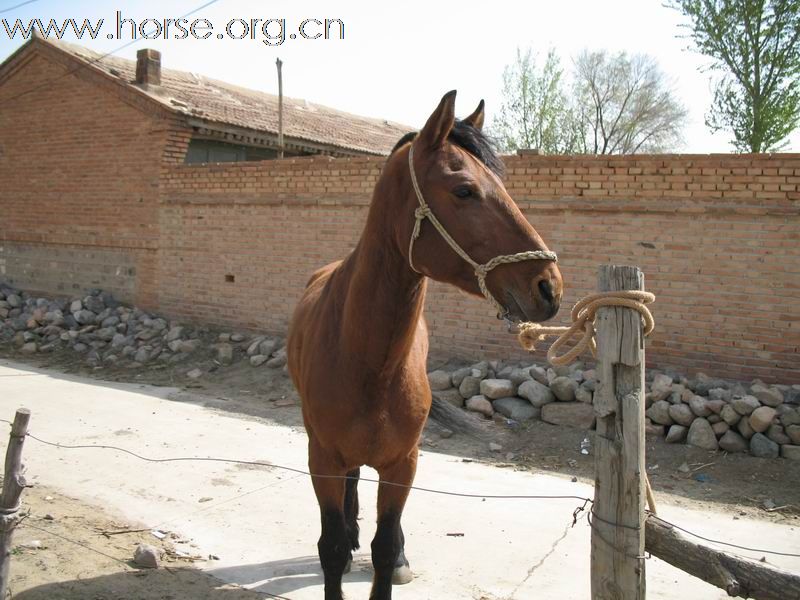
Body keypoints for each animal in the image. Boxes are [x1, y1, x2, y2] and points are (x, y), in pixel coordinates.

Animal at [288, 90, 564, 600]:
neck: (367, 362)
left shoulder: (403, 464)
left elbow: (383, 546)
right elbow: (330, 548)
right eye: (464, 190)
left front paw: (392, 557)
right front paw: (345, 542)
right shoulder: (323, 459)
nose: (548, 285)